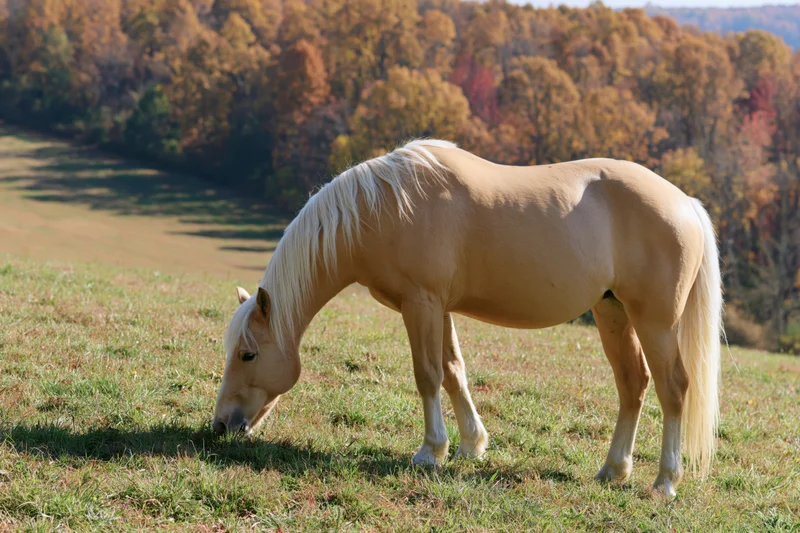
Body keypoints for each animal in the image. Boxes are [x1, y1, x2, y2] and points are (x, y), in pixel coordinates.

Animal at [211, 139, 723, 497]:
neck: (386, 206)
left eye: (248, 354)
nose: (220, 426)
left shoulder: (421, 304)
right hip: (612, 312)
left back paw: (665, 481)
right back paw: (613, 470)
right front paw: (470, 445)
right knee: (632, 385)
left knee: (673, 389)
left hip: (656, 323)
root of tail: (686, 203)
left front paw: (430, 452)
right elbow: (454, 370)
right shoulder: (439, 308)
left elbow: (427, 374)